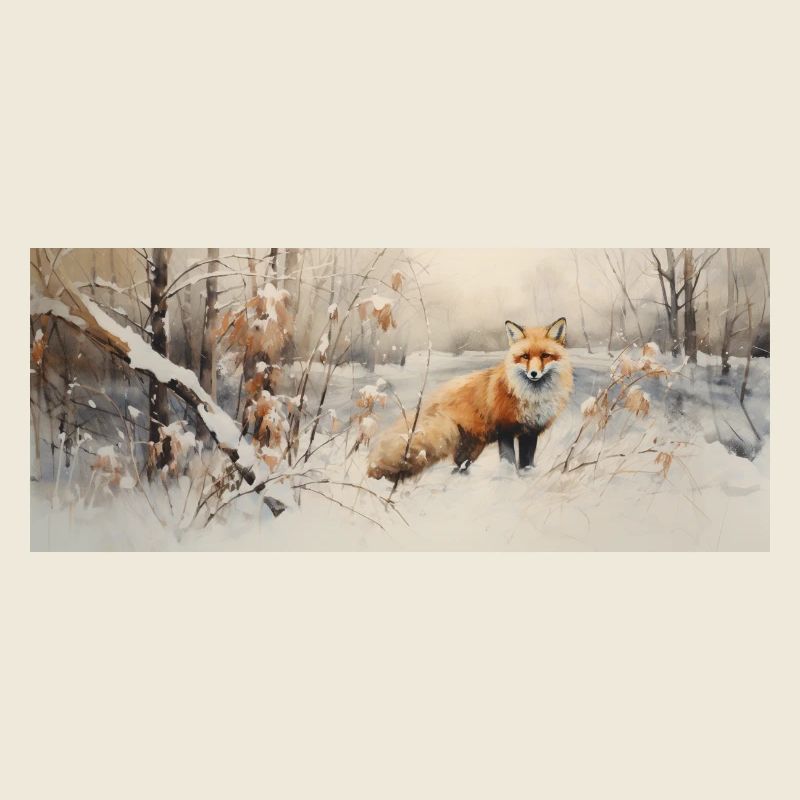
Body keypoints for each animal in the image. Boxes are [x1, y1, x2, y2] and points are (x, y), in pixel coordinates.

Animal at [367, 317, 573, 480]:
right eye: (525, 356)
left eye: (545, 356)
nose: (533, 374)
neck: (532, 398)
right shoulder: (505, 429)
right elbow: (508, 460)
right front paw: (508, 479)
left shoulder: (530, 432)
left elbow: (527, 462)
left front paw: (527, 476)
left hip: (471, 448)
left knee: (459, 466)